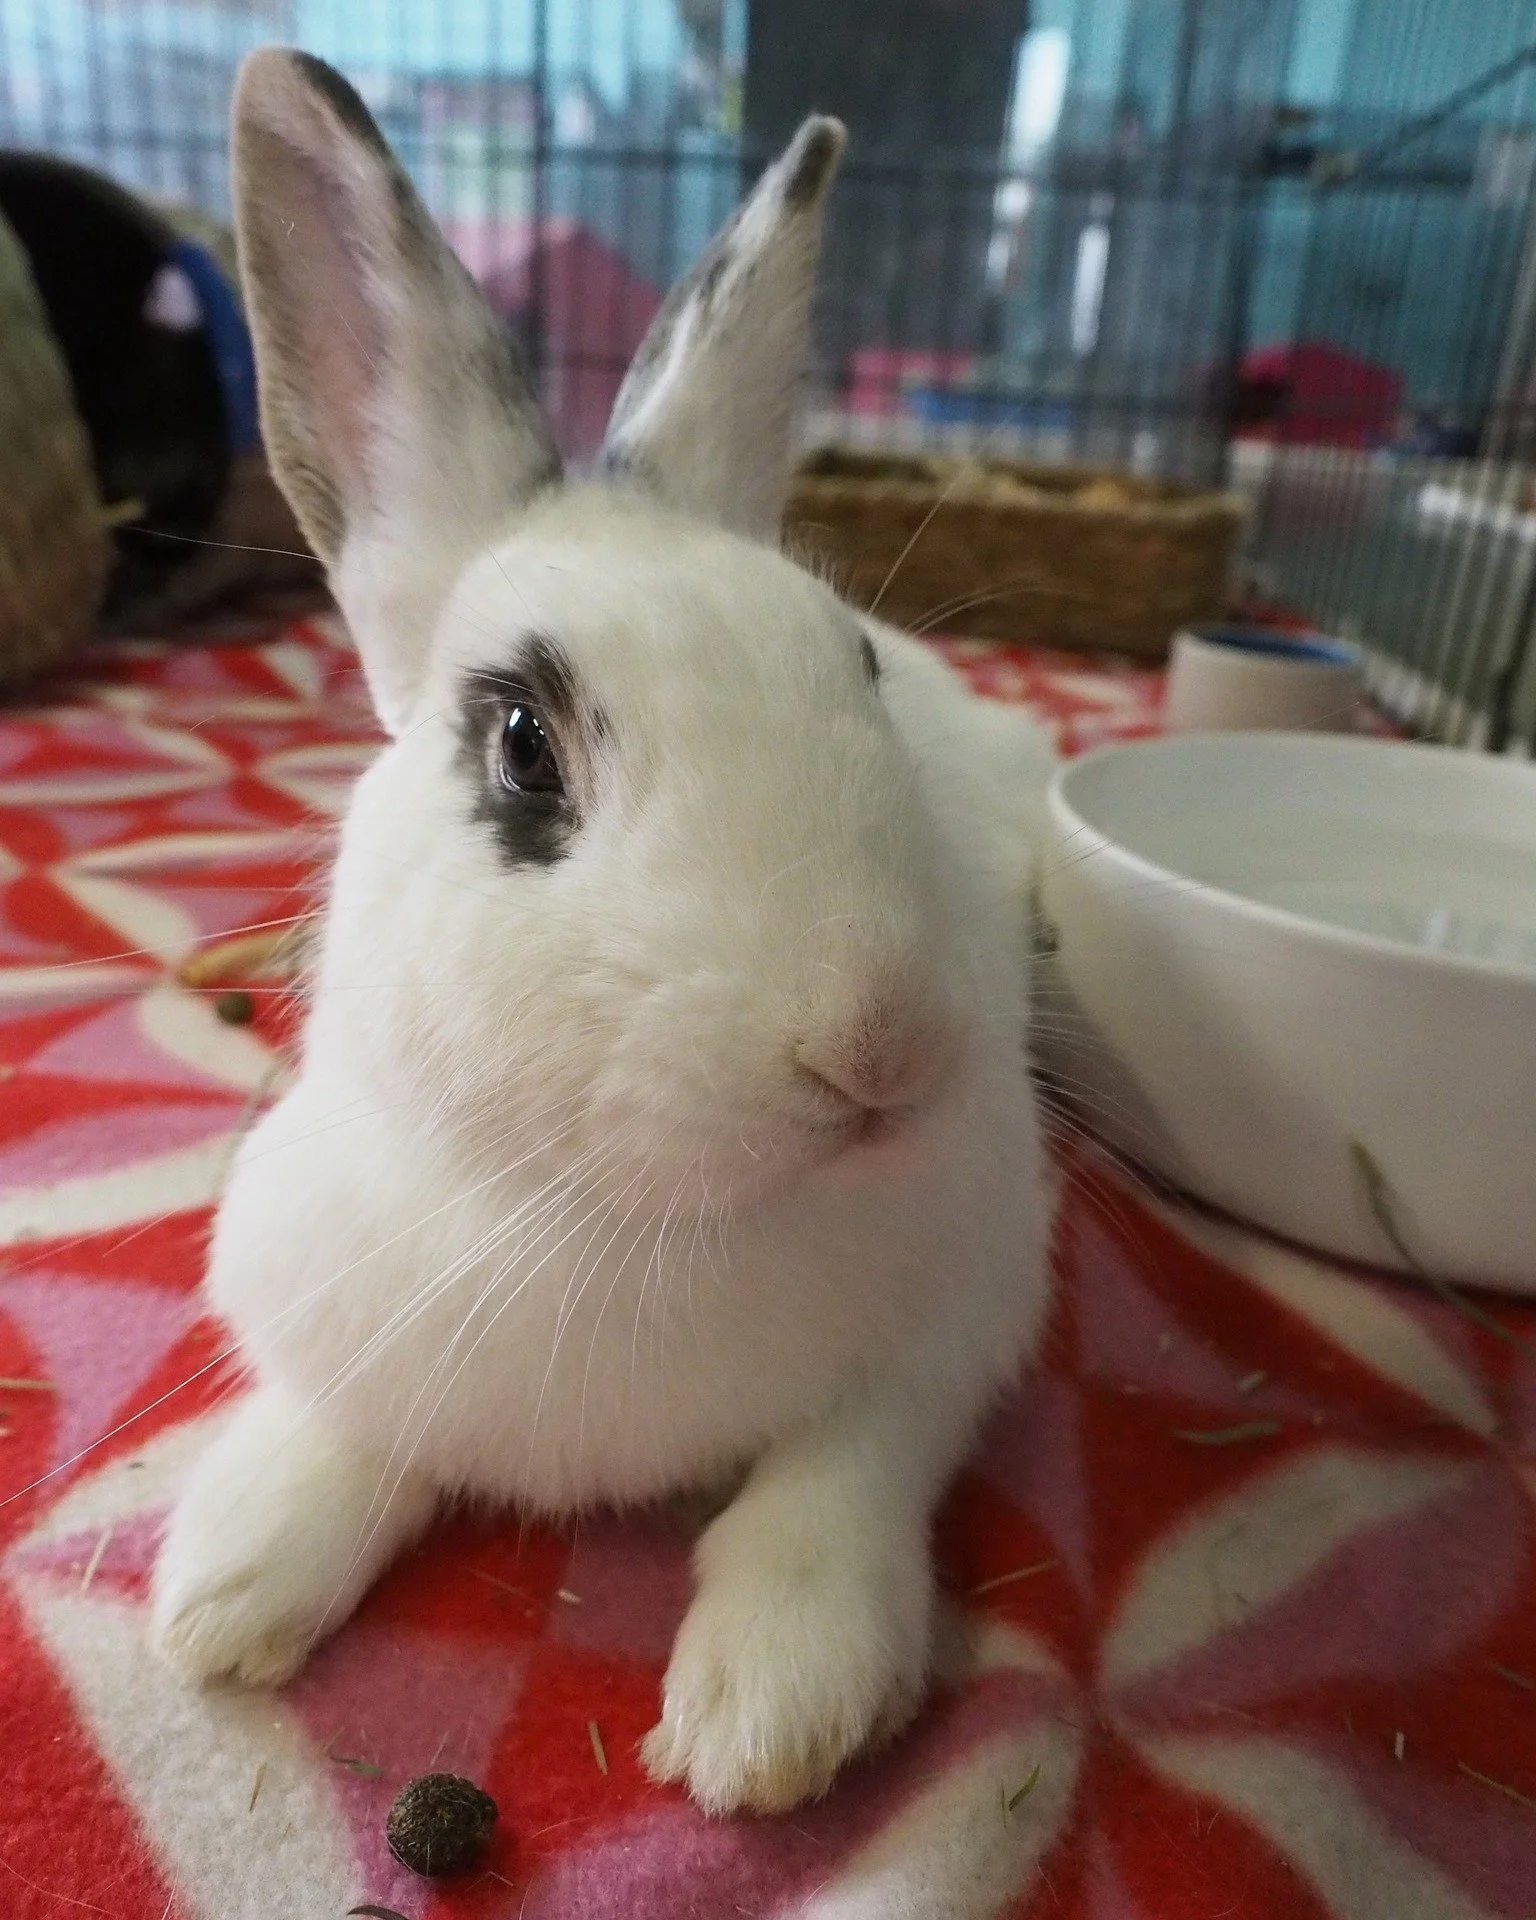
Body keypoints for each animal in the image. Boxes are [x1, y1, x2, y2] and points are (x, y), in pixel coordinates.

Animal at [150, 46, 1056, 1818]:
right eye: (522, 748)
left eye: (855, 664)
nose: (881, 1046)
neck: (622, 1217)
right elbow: (336, 1422)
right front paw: (221, 1592)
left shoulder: (963, 1309)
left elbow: (846, 1469)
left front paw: (771, 1716)